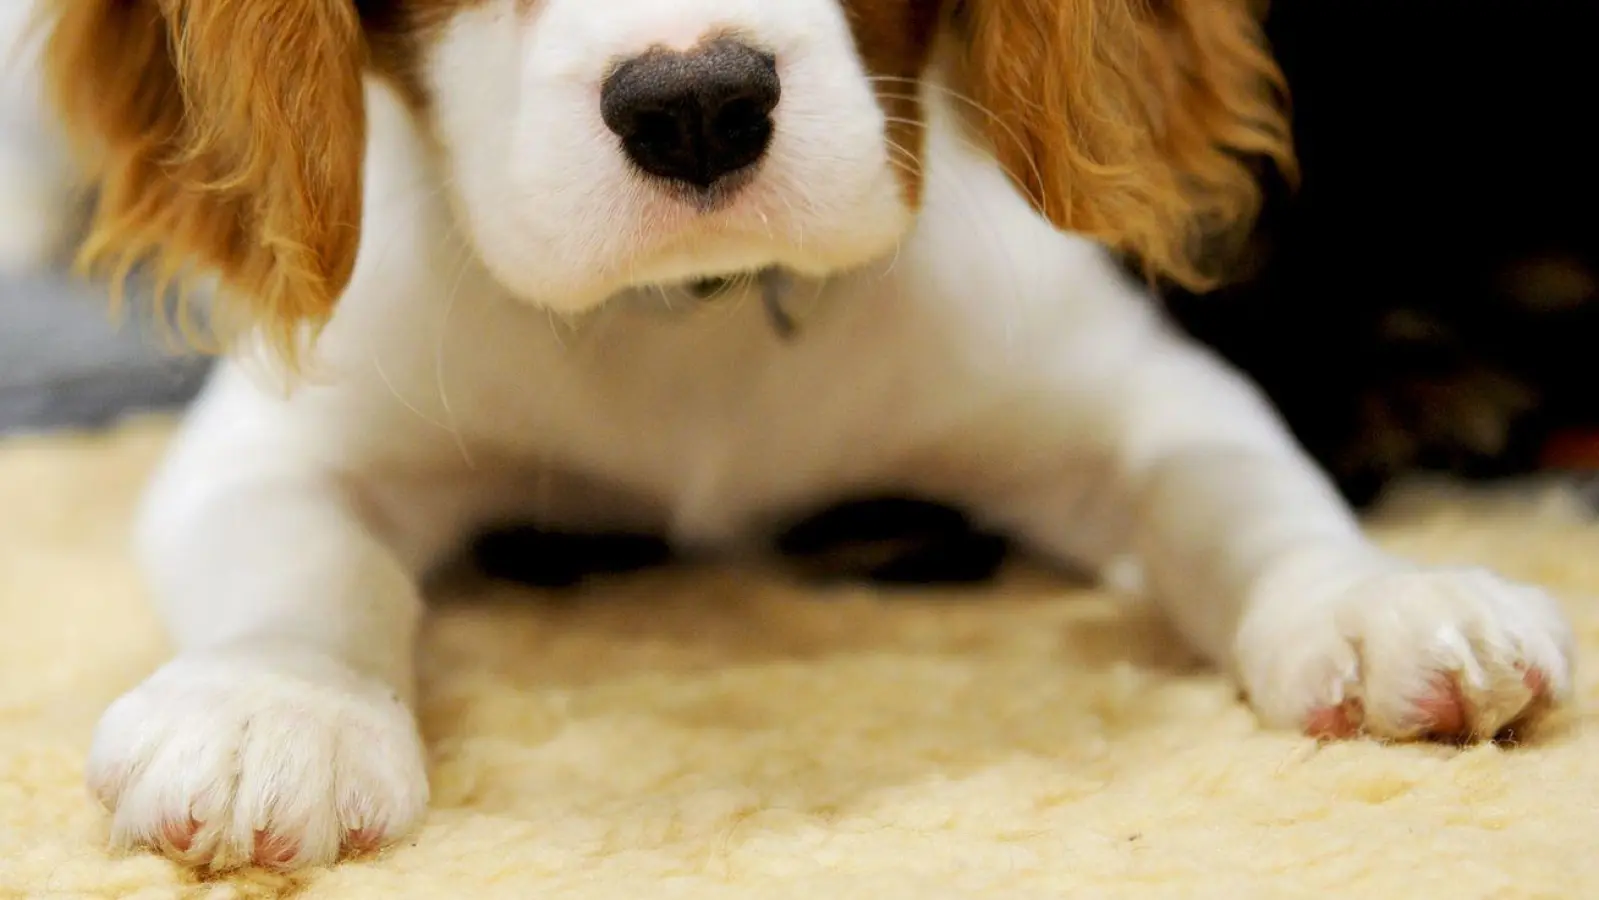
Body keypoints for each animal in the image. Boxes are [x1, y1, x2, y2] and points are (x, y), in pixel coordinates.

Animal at [0, 0, 1573, 876]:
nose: (695, 101)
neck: (696, 321)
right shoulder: (277, 438)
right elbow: (307, 568)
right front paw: (279, 708)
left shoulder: (1125, 387)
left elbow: (1229, 482)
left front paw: (1374, 598)